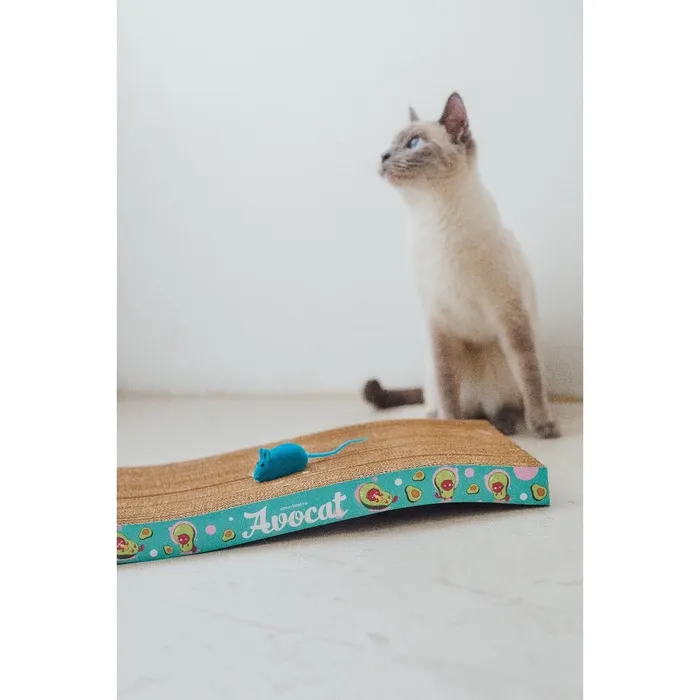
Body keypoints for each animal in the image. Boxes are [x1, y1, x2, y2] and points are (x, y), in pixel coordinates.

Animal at [364, 93, 560, 439]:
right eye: (391, 144)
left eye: (414, 143)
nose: (383, 156)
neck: (433, 220)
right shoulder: (439, 325)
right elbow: (447, 388)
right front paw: (450, 426)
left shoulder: (510, 317)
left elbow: (530, 377)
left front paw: (543, 427)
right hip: (435, 368)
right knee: (455, 406)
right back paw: (448, 420)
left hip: (499, 359)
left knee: (499, 406)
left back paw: (507, 423)